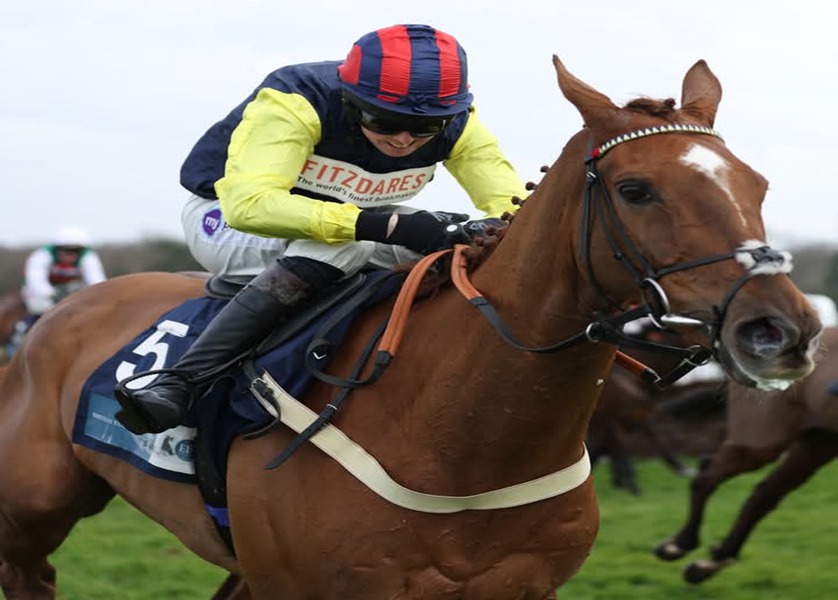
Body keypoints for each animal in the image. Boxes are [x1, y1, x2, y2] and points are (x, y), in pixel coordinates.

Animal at [653, 325, 838, 584]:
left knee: (762, 496)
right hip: (761, 440)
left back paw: (710, 563)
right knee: (707, 476)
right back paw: (680, 545)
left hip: (818, 443)